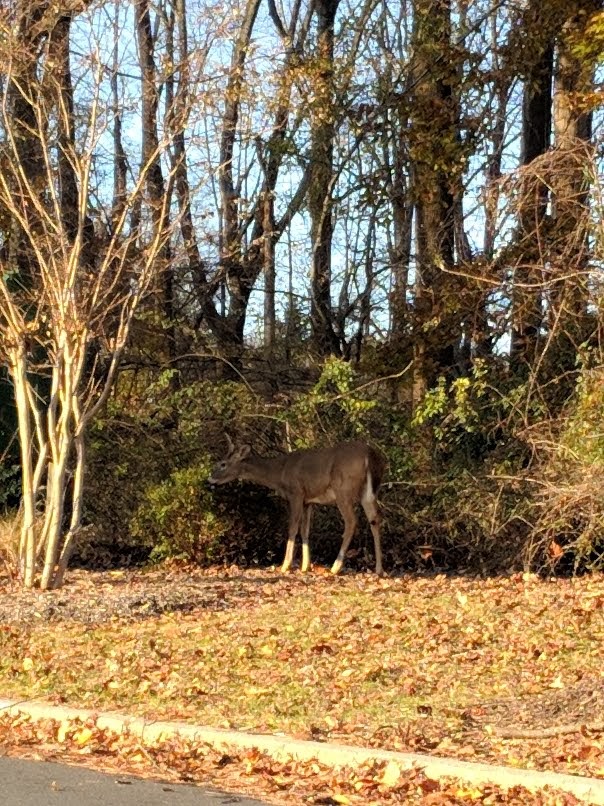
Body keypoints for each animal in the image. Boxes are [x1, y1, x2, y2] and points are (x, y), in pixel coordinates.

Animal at [209, 438, 386, 576]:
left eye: (222, 464)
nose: (209, 479)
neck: (280, 472)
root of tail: (369, 455)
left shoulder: (296, 493)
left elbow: (292, 528)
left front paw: (285, 565)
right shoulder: (308, 501)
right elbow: (305, 530)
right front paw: (305, 566)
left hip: (343, 490)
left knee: (351, 521)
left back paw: (335, 567)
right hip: (369, 492)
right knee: (375, 519)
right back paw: (379, 569)